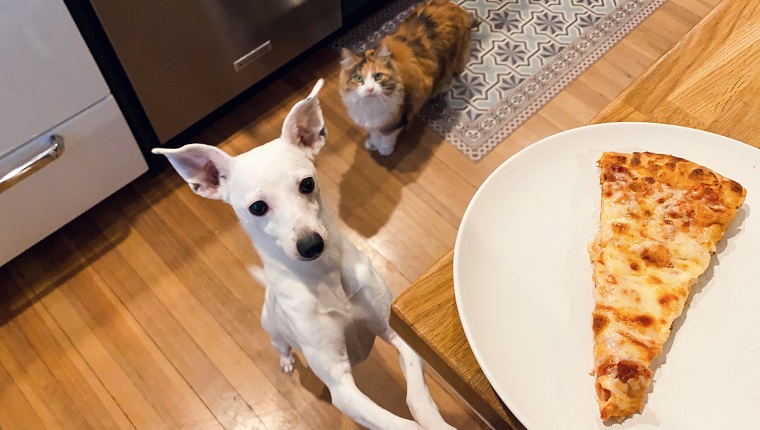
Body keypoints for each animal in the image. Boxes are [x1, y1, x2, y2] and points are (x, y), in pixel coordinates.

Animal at [151, 80, 454, 430]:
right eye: (257, 207)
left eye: (307, 184)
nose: (311, 245)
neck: (324, 277)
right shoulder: (340, 385)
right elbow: (394, 423)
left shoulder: (394, 332)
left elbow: (417, 395)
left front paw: (436, 421)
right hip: (273, 331)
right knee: (281, 347)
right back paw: (285, 361)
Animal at [338, 0, 470, 155]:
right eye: (358, 78)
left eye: (378, 76)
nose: (370, 89)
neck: (369, 105)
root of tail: (453, 6)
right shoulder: (373, 123)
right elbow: (375, 133)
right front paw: (373, 143)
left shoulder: (396, 120)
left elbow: (386, 136)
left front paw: (384, 150)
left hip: (450, 63)